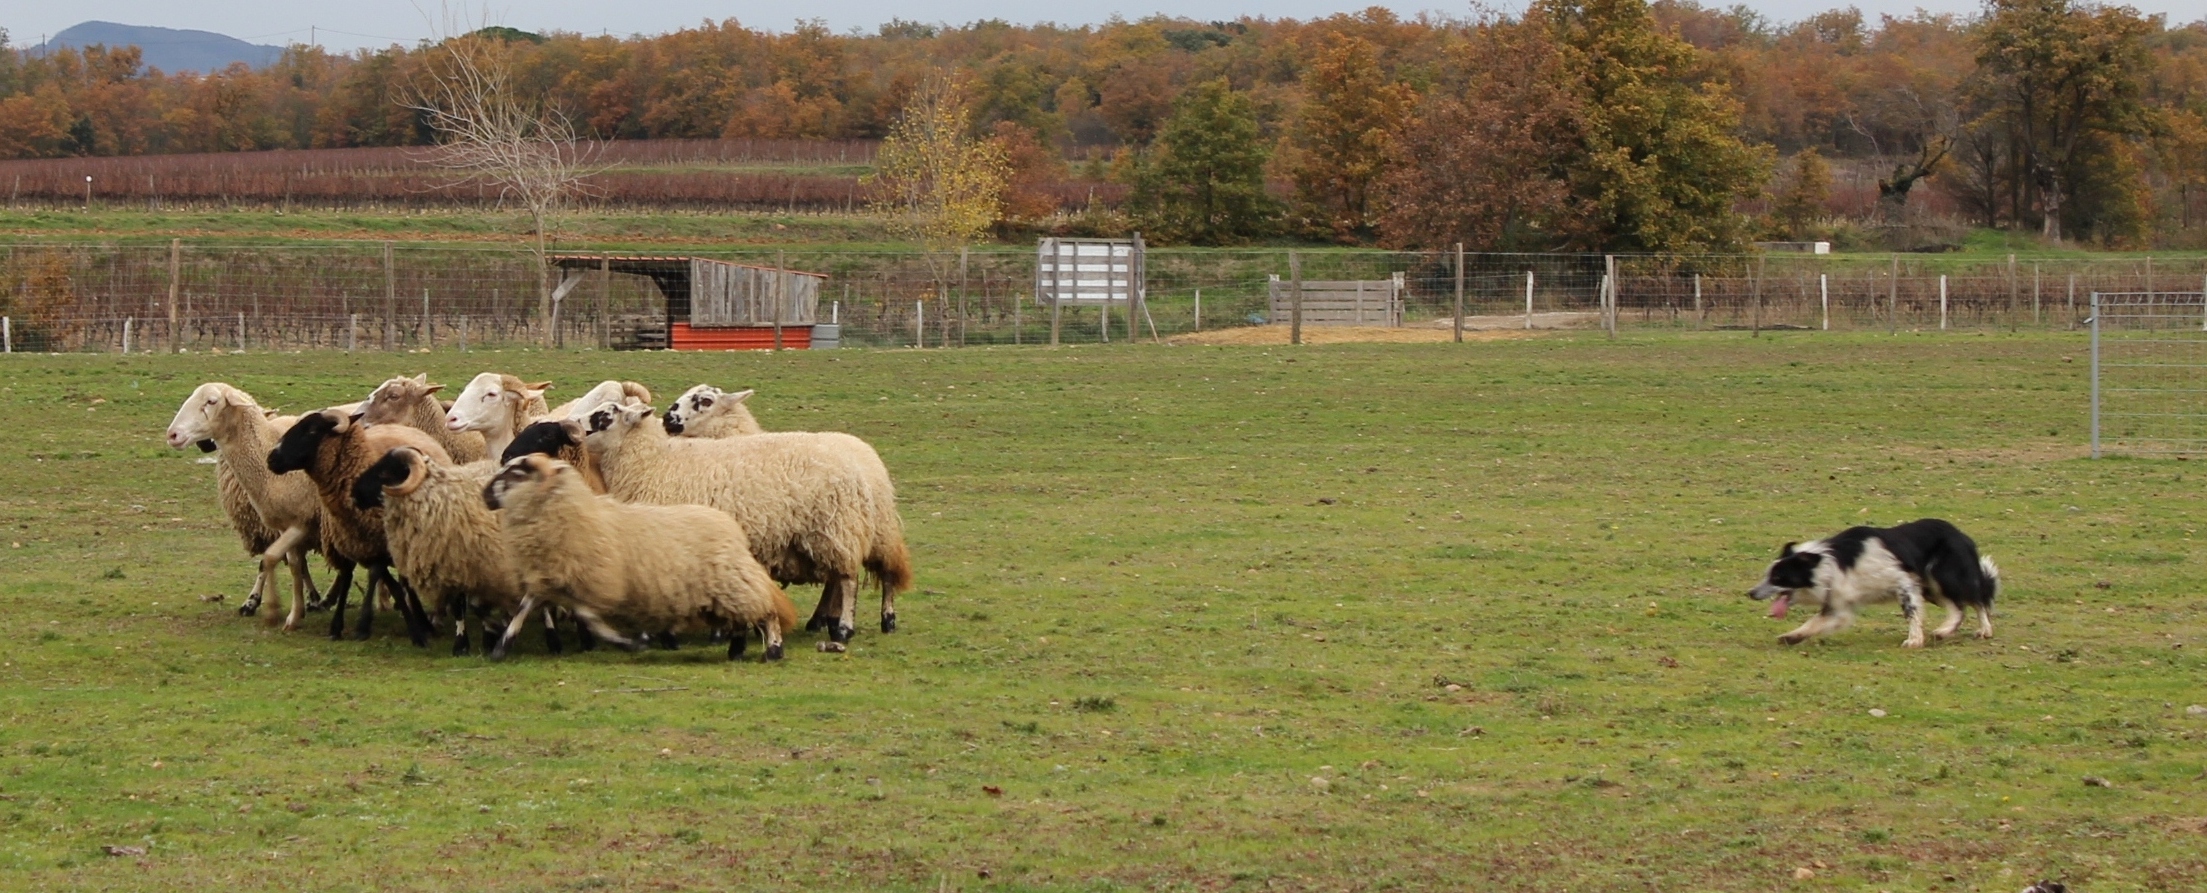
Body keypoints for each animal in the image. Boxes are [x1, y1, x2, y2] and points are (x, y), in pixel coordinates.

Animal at [478, 456, 798, 657]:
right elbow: (525, 607)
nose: (484, 494)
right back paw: (737, 650)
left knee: (766, 612)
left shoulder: (594, 584)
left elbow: (589, 618)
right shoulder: (551, 577)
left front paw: (629, 643)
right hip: (722, 593)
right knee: (742, 619)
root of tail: (731, 527)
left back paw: (773, 650)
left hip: (733, 583)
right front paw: (501, 646)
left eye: (519, 472)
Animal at [1756, 515, 2003, 648]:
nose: (1751, 593)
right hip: (1931, 587)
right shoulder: (1839, 603)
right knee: (1959, 606)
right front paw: (1792, 636)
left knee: (1975, 601)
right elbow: (1814, 623)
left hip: (1944, 576)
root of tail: (1962, 535)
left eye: (1778, 577)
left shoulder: (1903, 582)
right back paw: (1949, 631)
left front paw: (1914, 641)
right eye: (1768, 575)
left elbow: (1911, 614)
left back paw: (1979, 630)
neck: (1833, 564)